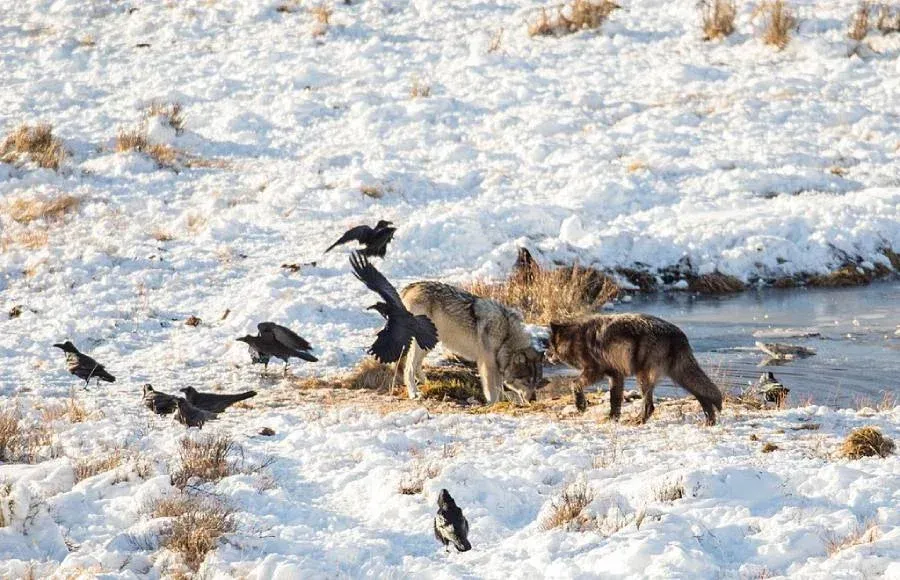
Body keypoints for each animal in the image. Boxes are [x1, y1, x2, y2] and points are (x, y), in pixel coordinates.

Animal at [400, 281, 546, 404]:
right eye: (526, 381)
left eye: (536, 382)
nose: (533, 399)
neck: (506, 336)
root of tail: (409, 287)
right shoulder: (487, 365)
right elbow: (492, 390)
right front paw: (493, 404)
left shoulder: (497, 366)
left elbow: (500, 388)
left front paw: (502, 402)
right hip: (420, 345)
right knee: (408, 368)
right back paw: (414, 393)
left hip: (429, 344)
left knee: (417, 365)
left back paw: (428, 383)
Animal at [546, 313, 723, 425]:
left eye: (549, 344)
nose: (545, 355)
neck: (574, 337)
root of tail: (679, 335)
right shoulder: (615, 376)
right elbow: (615, 400)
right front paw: (612, 419)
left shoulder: (594, 371)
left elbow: (574, 383)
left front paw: (581, 406)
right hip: (680, 376)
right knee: (702, 393)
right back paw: (709, 421)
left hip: (643, 378)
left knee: (650, 406)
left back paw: (637, 421)